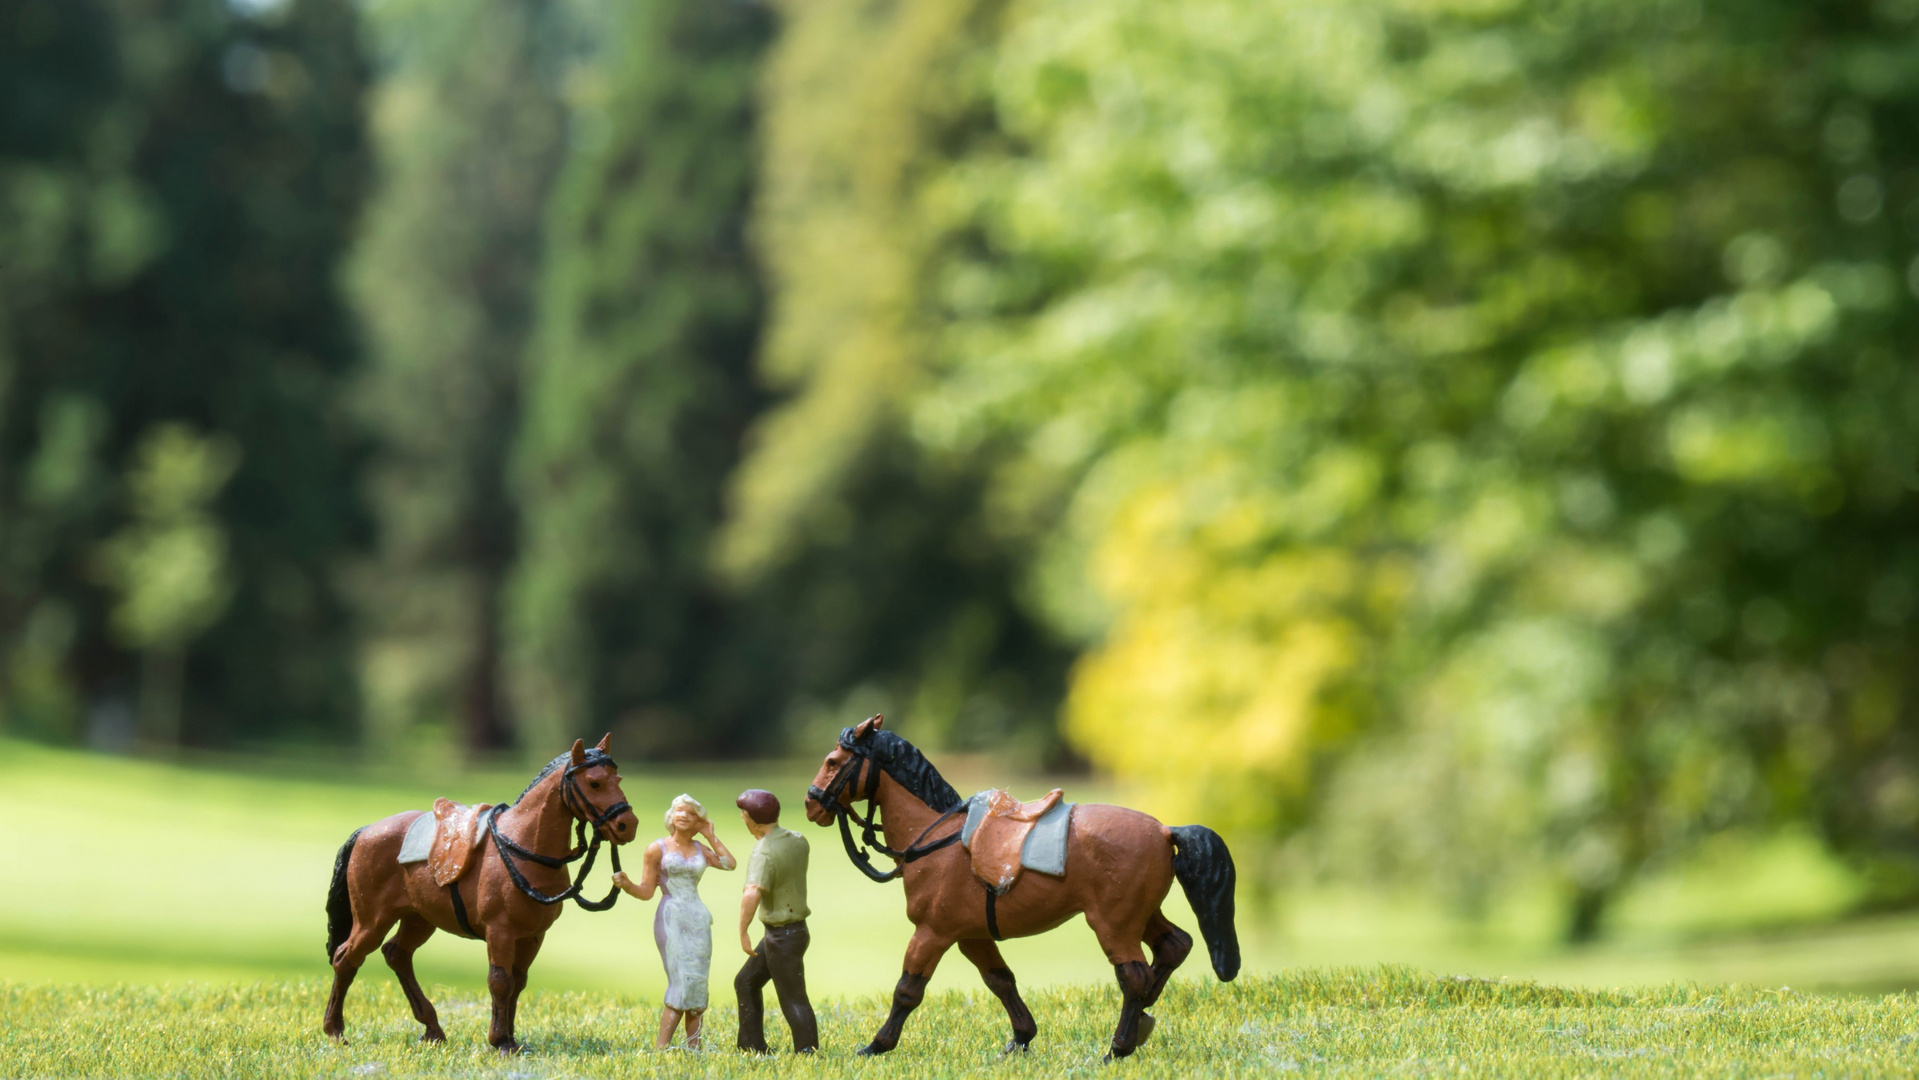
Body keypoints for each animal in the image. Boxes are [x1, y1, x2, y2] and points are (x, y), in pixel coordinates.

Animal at [318, 736, 640, 1051]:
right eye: (594, 783)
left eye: (619, 778)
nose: (628, 825)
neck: (521, 845)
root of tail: (367, 831)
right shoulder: (500, 931)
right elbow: (500, 981)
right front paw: (499, 1042)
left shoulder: (534, 935)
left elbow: (518, 981)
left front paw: (512, 1039)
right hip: (373, 920)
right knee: (345, 958)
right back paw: (335, 1032)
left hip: (419, 919)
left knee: (397, 955)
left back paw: (432, 1029)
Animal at [798, 713, 1235, 1058]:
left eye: (833, 761)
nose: (811, 804)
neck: (937, 839)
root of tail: (1165, 830)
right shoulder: (970, 935)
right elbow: (1001, 981)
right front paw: (1020, 1039)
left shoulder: (932, 932)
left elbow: (908, 990)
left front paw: (876, 1045)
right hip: (1141, 914)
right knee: (1174, 946)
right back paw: (1143, 1019)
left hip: (1113, 923)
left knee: (1135, 977)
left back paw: (1118, 1048)